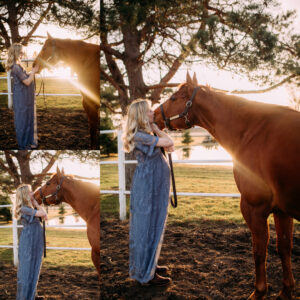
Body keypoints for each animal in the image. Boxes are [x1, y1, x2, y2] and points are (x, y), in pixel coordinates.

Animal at [155, 72, 300, 300]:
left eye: (173, 98)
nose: (153, 115)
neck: (253, 132)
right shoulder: (282, 210)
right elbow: (284, 248)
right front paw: (285, 291)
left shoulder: (254, 208)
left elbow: (259, 250)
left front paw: (259, 291)